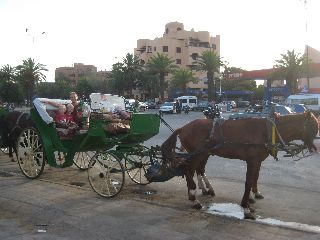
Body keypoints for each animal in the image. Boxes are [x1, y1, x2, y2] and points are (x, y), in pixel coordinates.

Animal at [160, 111, 318, 218]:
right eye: (313, 126)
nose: (315, 149)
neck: (268, 130)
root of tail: (184, 127)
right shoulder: (252, 160)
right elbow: (248, 182)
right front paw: (246, 206)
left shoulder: (257, 161)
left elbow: (255, 178)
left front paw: (254, 195)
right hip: (197, 154)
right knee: (189, 171)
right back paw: (194, 199)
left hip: (204, 153)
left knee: (199, 169)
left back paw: (205, 189)